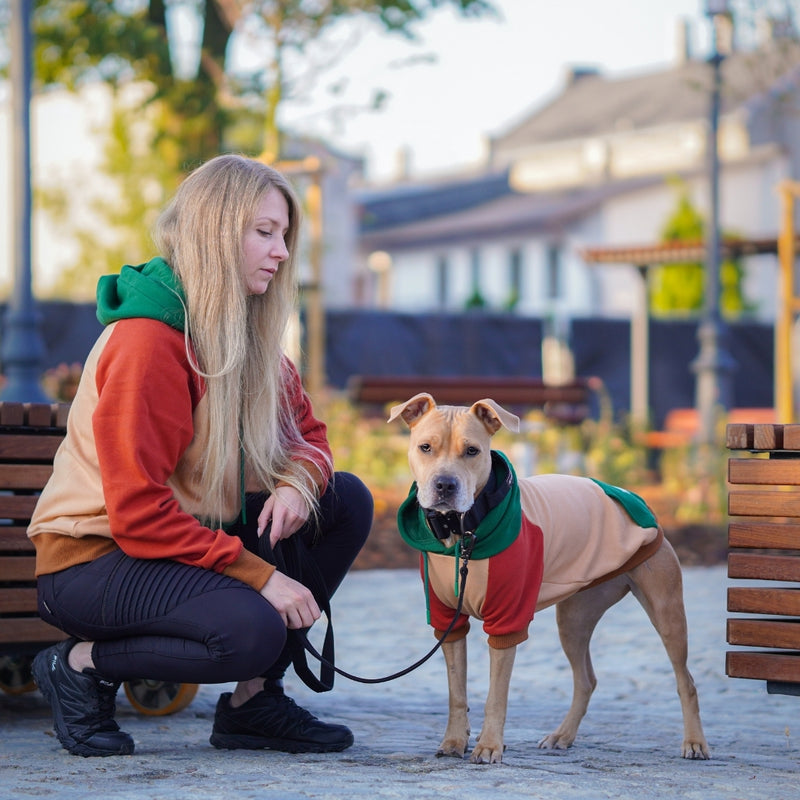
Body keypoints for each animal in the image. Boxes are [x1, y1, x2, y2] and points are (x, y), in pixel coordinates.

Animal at [390, 394, 708, 764]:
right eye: (425, 447)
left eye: (472, 451)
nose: (445, 484)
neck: (464, 528)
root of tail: (632, 495)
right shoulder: (447, 621)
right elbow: (457, 692)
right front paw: (455, 741)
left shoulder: (507, 622)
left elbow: (496, 695)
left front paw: (489, 746)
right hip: (574, 617)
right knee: (586, 679)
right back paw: (562, 735)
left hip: (666, 610)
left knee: (685, 680)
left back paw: (694, 742)